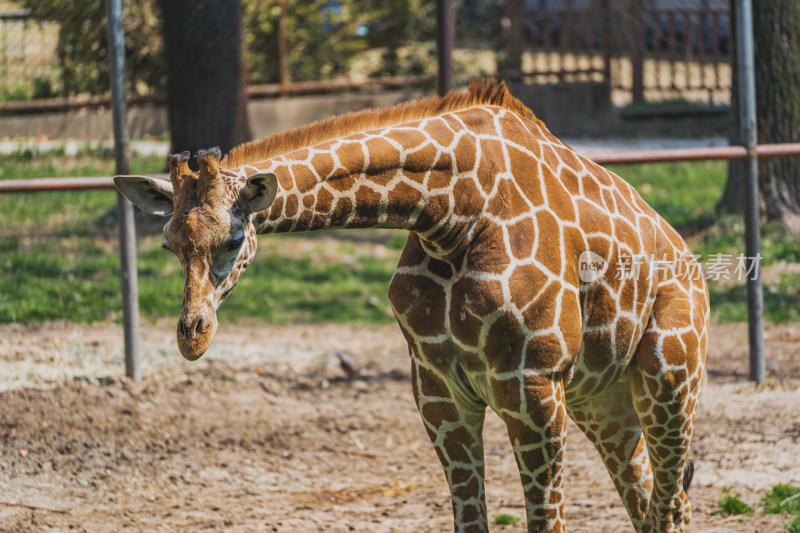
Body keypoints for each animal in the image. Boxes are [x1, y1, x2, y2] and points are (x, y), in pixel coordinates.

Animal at [117, 80, 708, 532]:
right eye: (169, 245)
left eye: (233, 241)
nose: (193, 335)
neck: (452, 212)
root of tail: (690, 263)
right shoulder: (439, 392)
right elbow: (470, 520)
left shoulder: (533, 388)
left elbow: (548, 522)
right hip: (603, 397)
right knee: (649, 503)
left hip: (669, 376)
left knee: (673, 502)